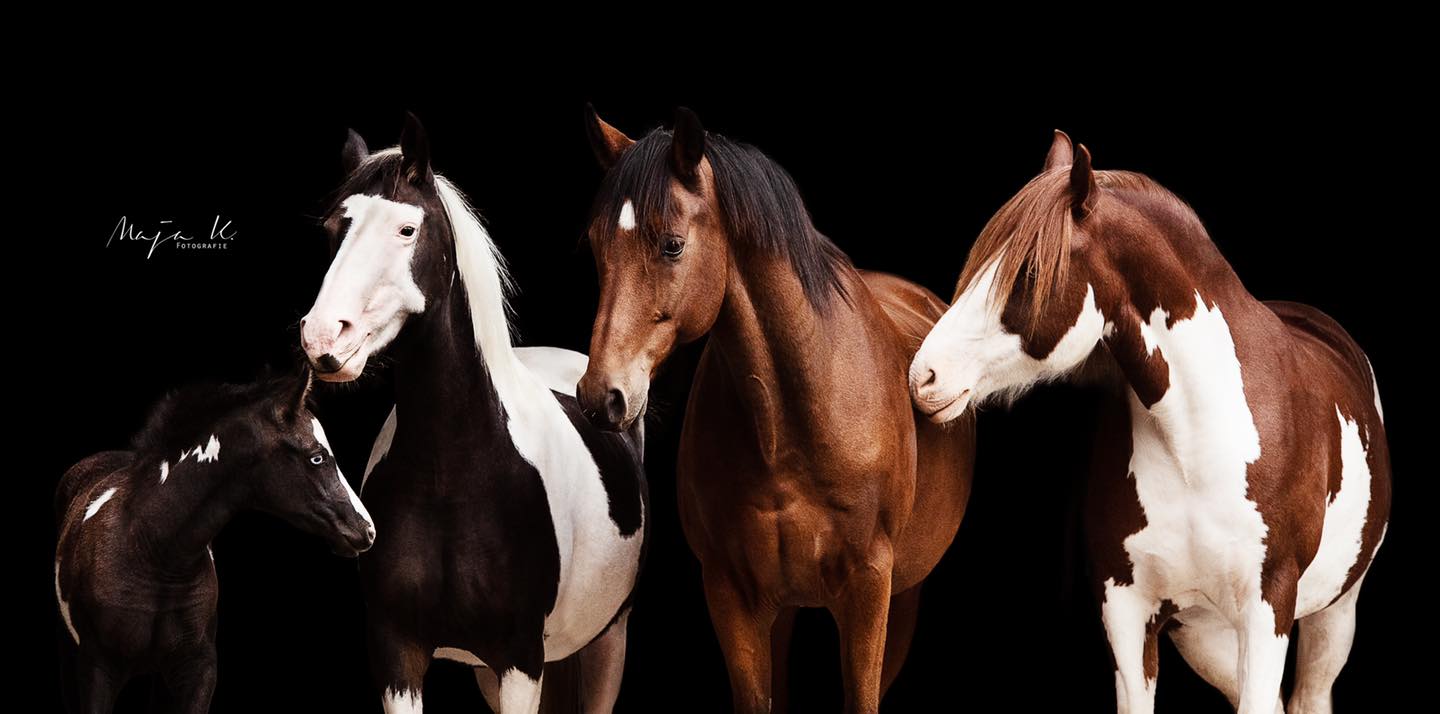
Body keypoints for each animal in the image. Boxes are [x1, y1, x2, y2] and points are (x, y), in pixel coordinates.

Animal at [299, 114, 648, 714]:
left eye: (407, 230)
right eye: (332, 229)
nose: (323, 337)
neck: (453, 475)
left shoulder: (519, 660)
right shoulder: (399, 655)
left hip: (610, 639)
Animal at [576, 106, 975, 713]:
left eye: (672, 245)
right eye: (598, 246)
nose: (602, 396)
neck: (792, 424)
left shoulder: (870, 589)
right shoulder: (732, 595)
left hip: (904, 594)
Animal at [908, 131, 1390, 714]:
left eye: (1028, 273)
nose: (923, 376)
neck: (1199, 443)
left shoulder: (1267, 608)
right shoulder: (1127, 613)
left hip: (1333, 613)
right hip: (1206, 635)